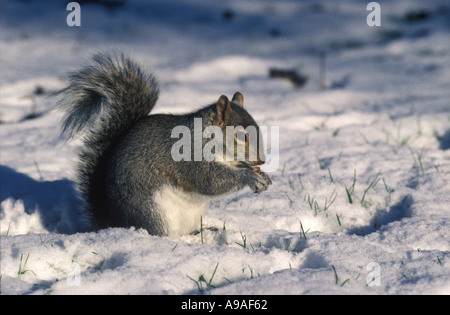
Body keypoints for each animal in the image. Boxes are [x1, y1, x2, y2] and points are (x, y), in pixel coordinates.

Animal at [56, 52, 270, 237]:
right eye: (240, 136)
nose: (262, 161)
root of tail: (115, 222)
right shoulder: (188, 154)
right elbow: (208, 180)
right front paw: (249, 177)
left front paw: (264, 177)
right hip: (153, 212)